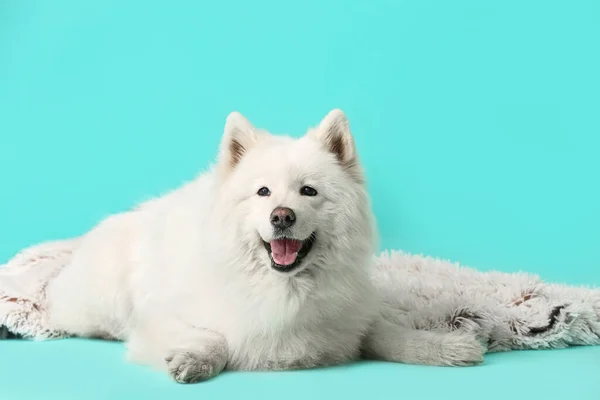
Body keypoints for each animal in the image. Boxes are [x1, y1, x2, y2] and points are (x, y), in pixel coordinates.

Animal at [44, 108, 486, 382]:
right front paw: (195, 358)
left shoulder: (349, 320)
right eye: (263, 192)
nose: (282, 216)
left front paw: (446, 346)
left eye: (308, 191)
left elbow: (389, 335)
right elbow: (215, 337)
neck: (285, 290)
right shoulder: (163, 320)